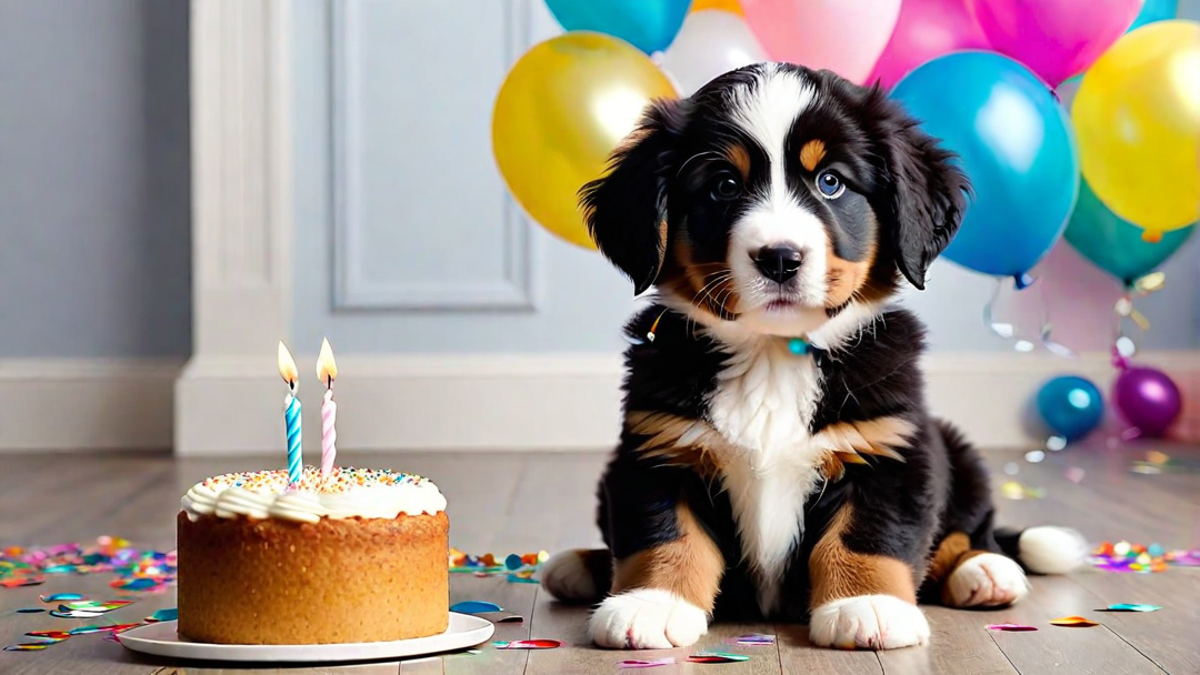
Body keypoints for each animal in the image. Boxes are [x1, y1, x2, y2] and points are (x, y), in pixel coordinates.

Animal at [542, 63, 1089, 648]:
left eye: (831, 181)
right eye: (723, 186)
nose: (780, 258)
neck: (772, 355)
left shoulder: (889, 449)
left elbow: (867, 536)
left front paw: (867, 604)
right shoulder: (658, 448)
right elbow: (663, 534)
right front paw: (650, 604)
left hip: (956, 451)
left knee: (968, 531)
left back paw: (985, 570)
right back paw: (579, 566)